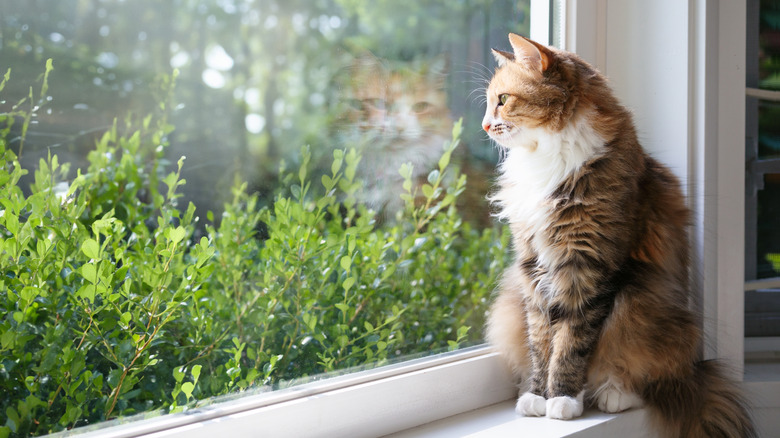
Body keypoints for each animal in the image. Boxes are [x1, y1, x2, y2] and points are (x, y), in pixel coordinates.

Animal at [482, 32, 756, 436]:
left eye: (502, 100)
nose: (485, 126)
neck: (547, 158)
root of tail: (693, 371)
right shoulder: (533, 269)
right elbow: (541, 340)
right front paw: (536, 395)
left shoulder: (588, 266)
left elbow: (572, 341)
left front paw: (562, 398)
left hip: (641, 300)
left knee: (638, 370)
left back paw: (613, 392)